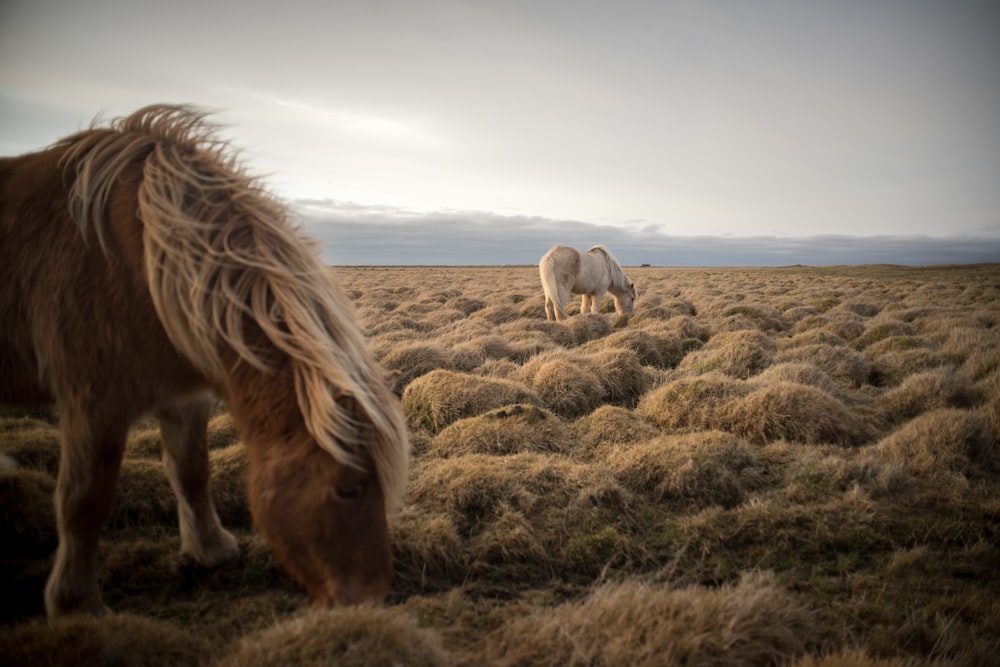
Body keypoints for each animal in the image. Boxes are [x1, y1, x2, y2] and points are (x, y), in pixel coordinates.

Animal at [0, 104, 410, 620]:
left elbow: (192, 471)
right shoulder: (91, 401)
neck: (142, 262)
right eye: (348, 487)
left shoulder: (186, 395)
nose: (369, 602)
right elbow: (84, 500)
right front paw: (77, 607)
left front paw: (211, 549)